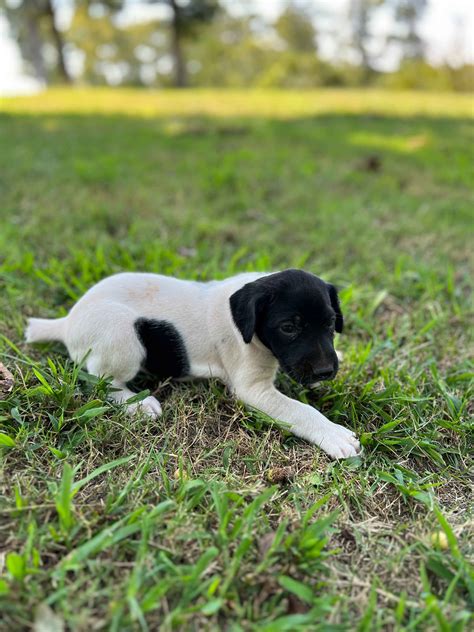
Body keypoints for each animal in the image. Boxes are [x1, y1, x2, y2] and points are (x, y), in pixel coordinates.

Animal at [25, 268, 360, 460]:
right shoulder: (253, 390)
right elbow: (301, 410)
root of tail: (67, 323)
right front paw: (334, 434)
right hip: (123, 336)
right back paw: (137, 403)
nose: (326, 372)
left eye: (331, 323)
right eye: (289, 328)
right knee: (102, 381)